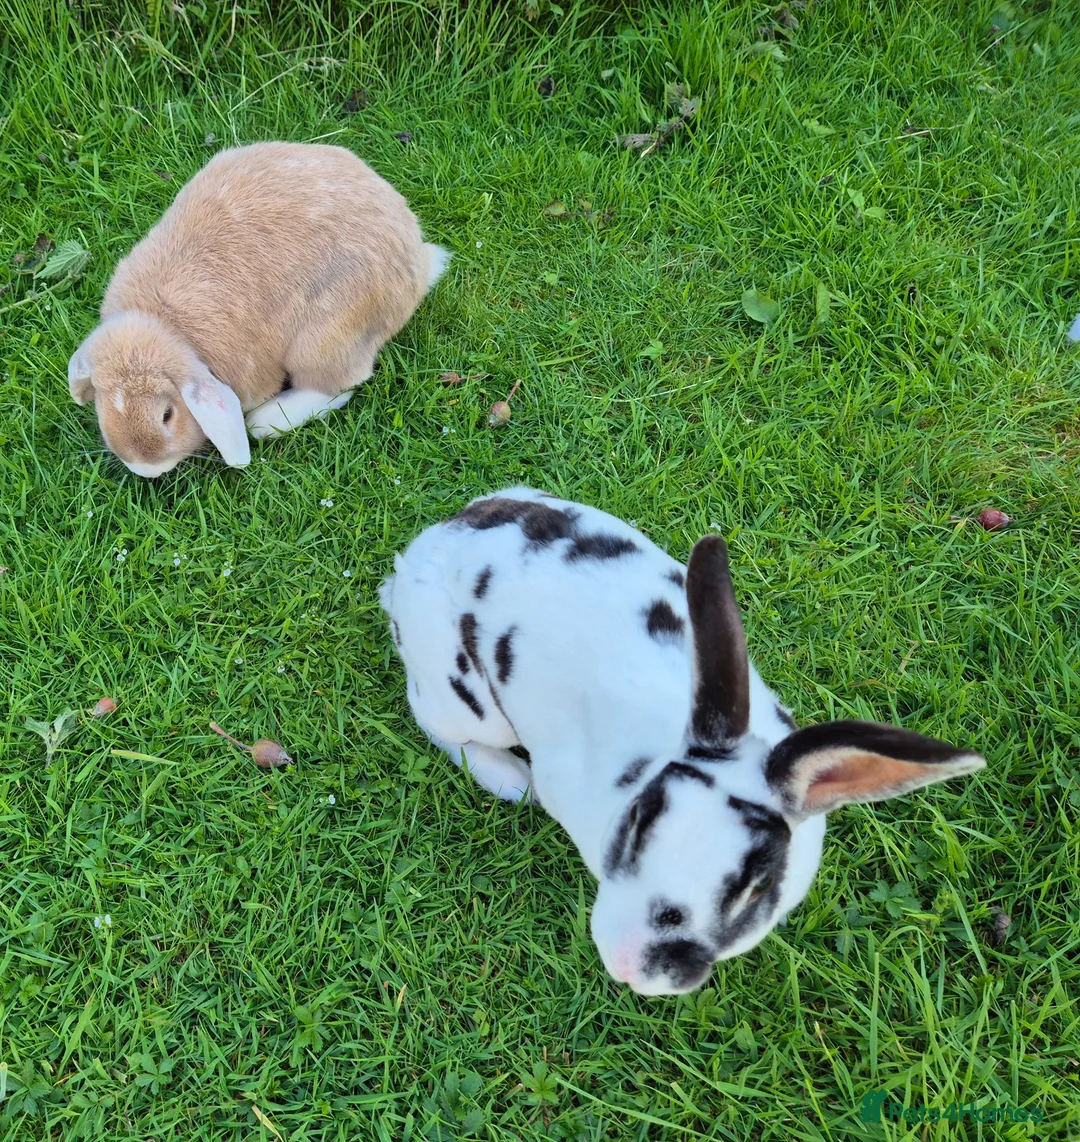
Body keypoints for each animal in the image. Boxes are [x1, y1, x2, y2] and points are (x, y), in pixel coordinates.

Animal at [67, 141, 450, 477]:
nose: (147, 469)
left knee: (341, 385)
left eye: (167, 414)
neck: (165, 326)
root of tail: (418, 258)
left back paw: (267, 421)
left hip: (327, 336)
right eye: (103, 404)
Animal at [380, 487, 986, 995]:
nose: (629, 966)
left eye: (758, 886)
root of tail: (426, 550)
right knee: (435, 721)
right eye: (635, 824)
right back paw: (510, 780)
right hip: (466, 701)